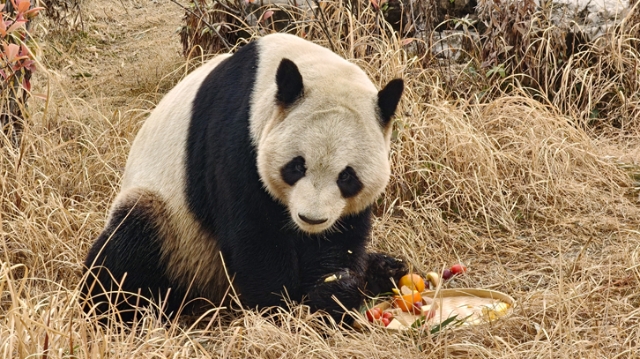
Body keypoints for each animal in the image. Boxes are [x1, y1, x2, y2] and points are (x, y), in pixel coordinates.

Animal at [82, 33, 408, 324]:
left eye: (347, 176)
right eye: (297, 166)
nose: (311, 219)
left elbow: (339, 242)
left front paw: (331, 298)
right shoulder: (236, 143)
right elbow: (255, 236)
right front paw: (279, 312)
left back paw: (386, 269)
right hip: (175, 229)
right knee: (130, 244)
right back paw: (116, 311)